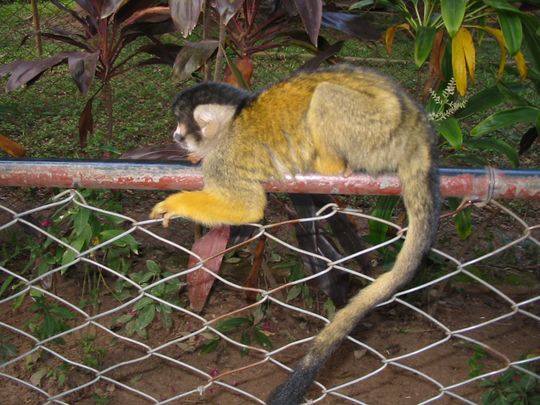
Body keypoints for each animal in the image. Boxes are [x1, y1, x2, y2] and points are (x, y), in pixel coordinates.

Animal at [149, 64, 438, 402]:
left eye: (181, 125)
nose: (175, 135)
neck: (231, 122)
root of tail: (415, 129)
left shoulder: (225, 159)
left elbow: (247, 207)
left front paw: (176, 204)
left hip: (375, 131)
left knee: (327, 97)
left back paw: (328, 165)